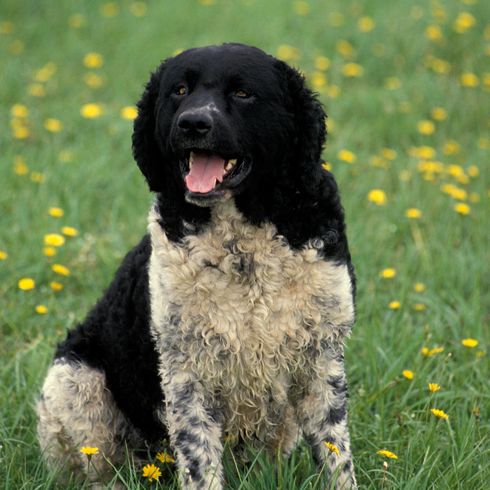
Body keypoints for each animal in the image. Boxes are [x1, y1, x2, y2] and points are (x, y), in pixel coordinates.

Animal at [35, 44, 356, 488]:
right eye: (180, 90)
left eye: (243, 93)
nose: (193, 122)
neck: (243, 253)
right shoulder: (187, 370)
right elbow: (199, 461)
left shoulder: (321, 360)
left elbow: (337, 458)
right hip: (76, 378)